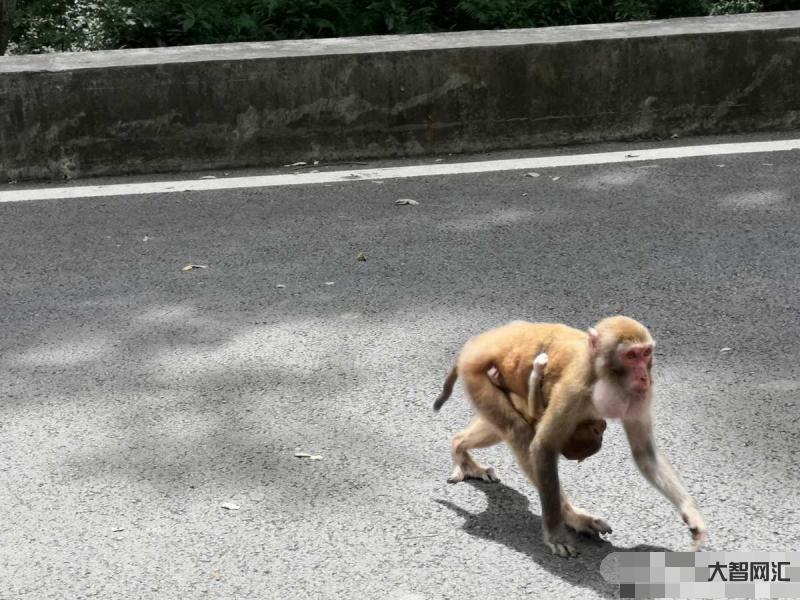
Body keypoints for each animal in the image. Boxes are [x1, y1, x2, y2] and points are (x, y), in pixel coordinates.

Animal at [432, 318, 708, 556]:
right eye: (631, 356)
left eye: (646, 353)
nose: (643, 376)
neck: (601, 373)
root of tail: (477, 344)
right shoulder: (574, 391)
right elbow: (543, 446)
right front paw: (555, 534)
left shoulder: (641, 395)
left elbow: (645, 454)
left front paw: (691, 514)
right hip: (475, 374)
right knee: (518, 430)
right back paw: (573, 517)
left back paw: (459, 446)